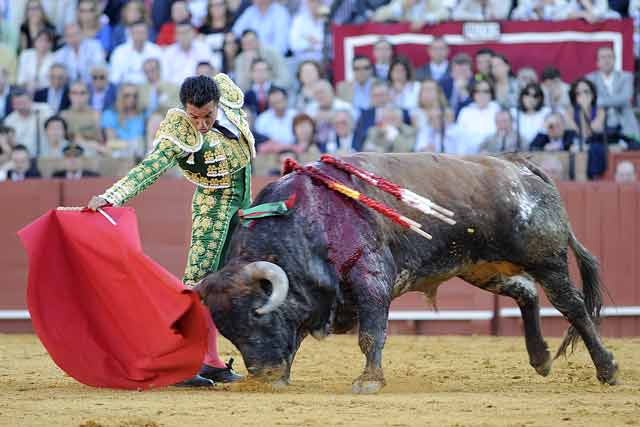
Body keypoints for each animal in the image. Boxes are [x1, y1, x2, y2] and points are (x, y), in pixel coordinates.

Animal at [196, 154, 620, 394]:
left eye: (258, 316)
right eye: (228, 331)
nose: (262, 374)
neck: (306, 219)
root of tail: (521, 168)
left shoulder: (371, 280)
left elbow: (371, 334)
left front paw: (369, 381)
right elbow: (297, 336)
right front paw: (284, 375)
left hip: (547, 260)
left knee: (572, 306)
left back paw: (607, 369)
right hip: (480, 268)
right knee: (526, 293)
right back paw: (541, 358)